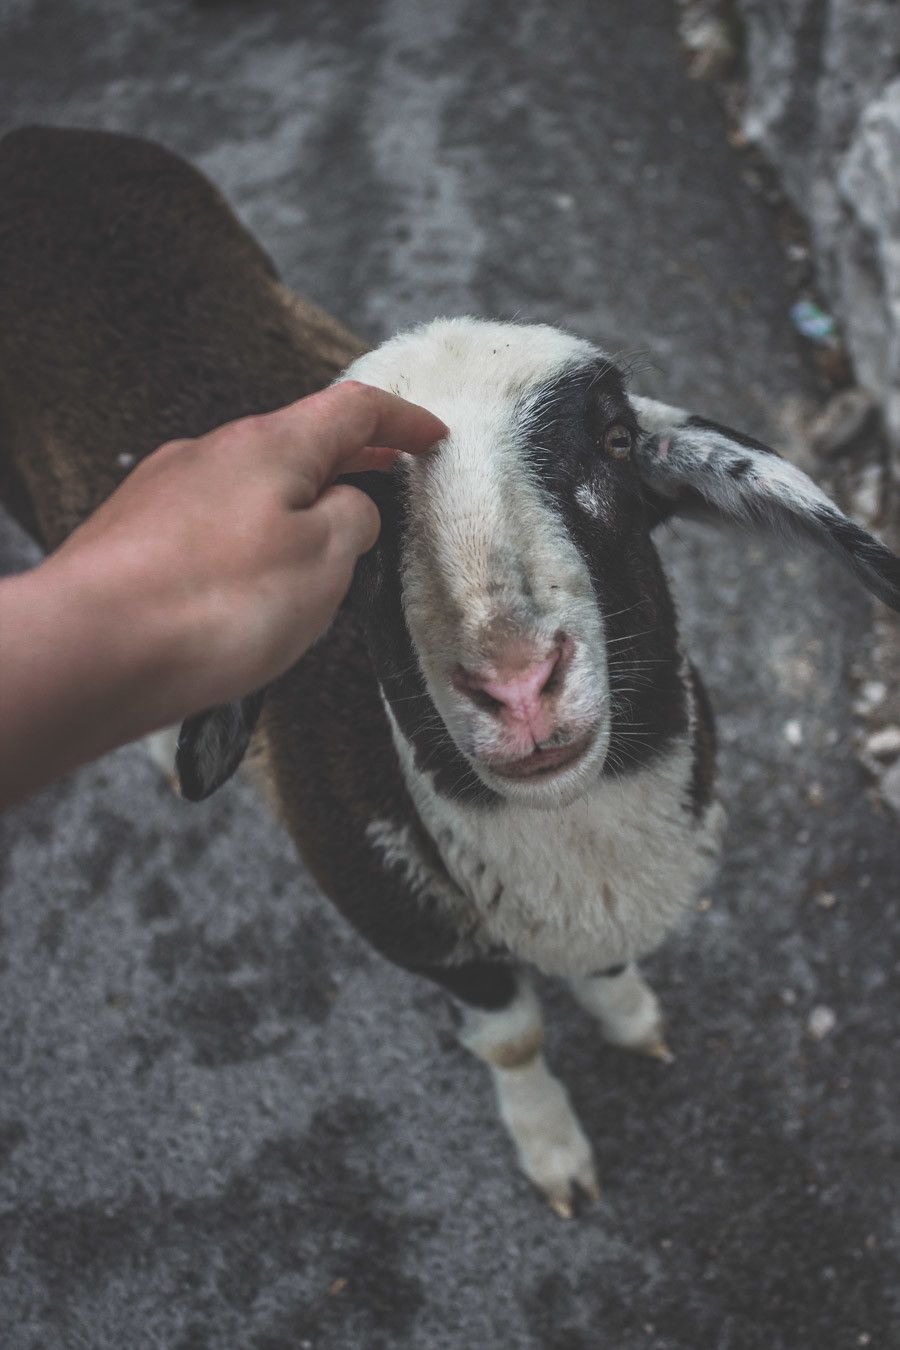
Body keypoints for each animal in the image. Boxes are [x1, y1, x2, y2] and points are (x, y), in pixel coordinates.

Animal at [3, 128, 895, 1225]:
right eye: (362, 516)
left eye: (615, 442)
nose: (516, 685)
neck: (577, 846)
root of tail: (36, 144)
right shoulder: (413, 931)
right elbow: (514, 1038)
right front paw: (554, 1151)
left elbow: (609, 974)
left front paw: (631, 1016)